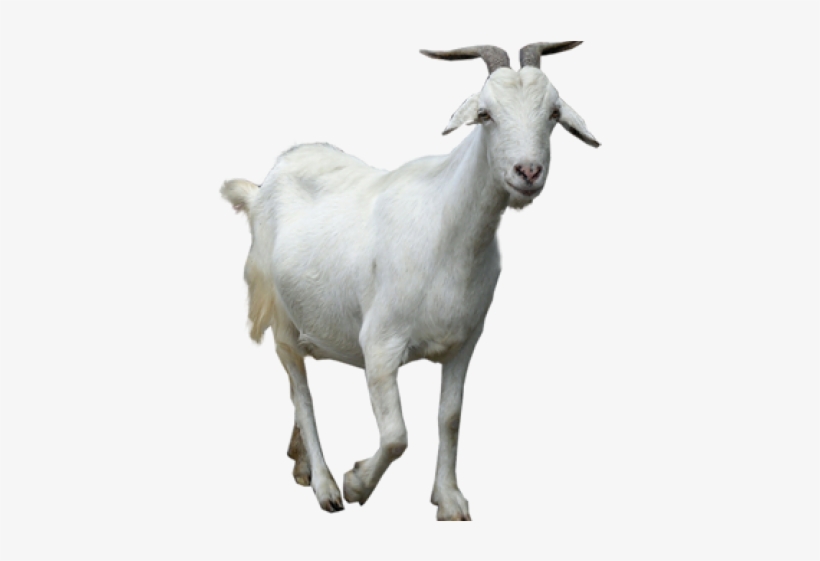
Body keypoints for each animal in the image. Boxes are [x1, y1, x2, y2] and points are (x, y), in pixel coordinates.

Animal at [221, 42, 599, 520]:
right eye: (485, 114)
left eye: (553, 112)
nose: (527, 172)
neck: (446, 229)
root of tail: (260, 188)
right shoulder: (379, 344)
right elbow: (397, 434)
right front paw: (357, 482)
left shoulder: (464, 341)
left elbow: (450, 417)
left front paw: (449, 499)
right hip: (281, 315)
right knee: (302, 392)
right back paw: (325, 486)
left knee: (295, 391)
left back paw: (301, 462)